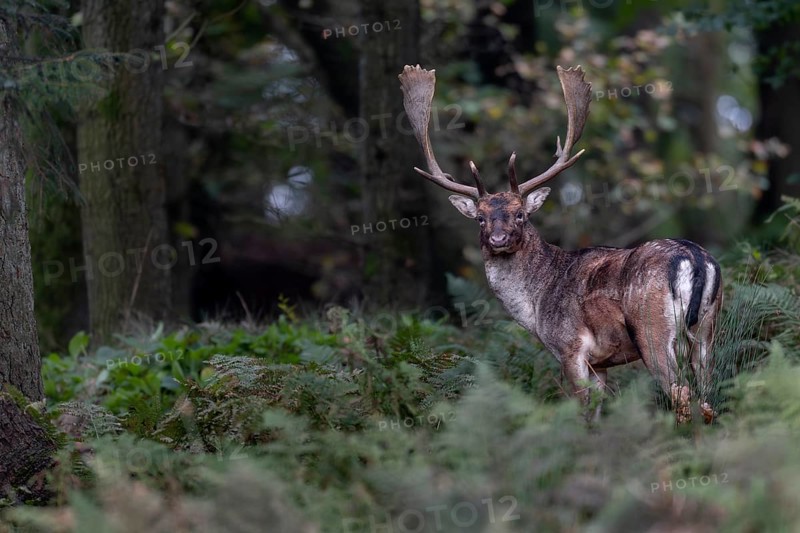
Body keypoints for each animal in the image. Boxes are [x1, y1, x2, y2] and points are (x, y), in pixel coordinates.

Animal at [398, 64, 722, 424]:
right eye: (480, 218)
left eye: (521, 214)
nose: (498, 239)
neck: (536, 304)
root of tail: (695, 258)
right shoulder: (601, 363)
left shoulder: (570, 348)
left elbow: (586, 413)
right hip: (708, 328)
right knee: (708, 396)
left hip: (653, 328)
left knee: (682, 394)